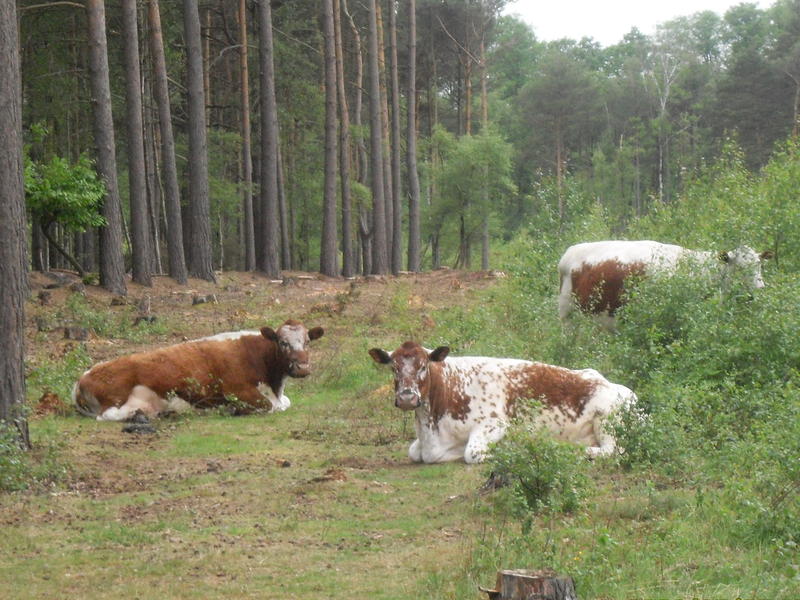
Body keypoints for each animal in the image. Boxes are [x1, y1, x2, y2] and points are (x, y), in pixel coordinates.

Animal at [73, 318, 324, 422]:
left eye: (307, 342)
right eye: (282, 342)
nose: (302, 367)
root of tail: (81, 379)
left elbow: (286, 403)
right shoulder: (238, 391)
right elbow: (269, 406)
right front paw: (231, 410)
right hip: (116, 394)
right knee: (107, 415)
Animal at [368, 342, 636, 464]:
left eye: (423, 365)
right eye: (393, 367)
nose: (407, 397)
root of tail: (624, 391)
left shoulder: (494, 424)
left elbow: (472, 453)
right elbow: (413, 451)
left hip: (607, 421)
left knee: (612, 450)